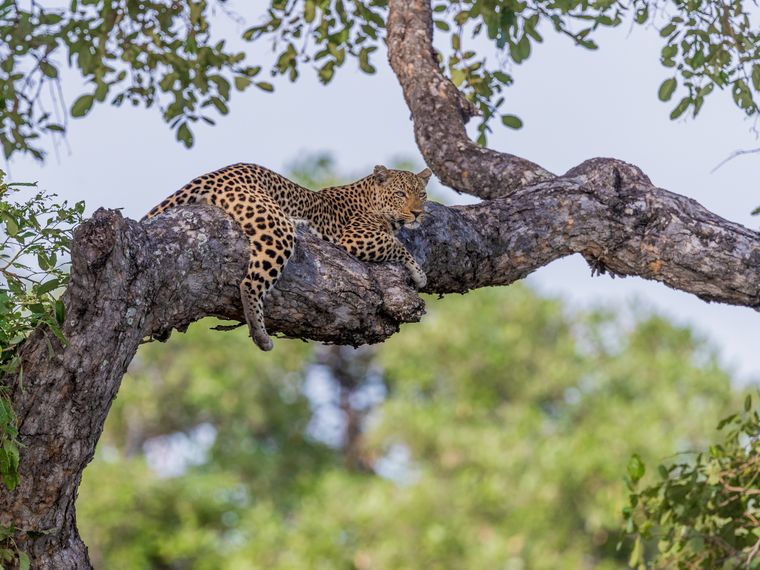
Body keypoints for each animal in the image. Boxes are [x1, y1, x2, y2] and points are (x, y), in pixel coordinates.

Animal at [144, 162, 432, 351]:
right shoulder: (355, 239)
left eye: (422, 194)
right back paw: (261, 336)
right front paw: (419, 273)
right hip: (275, 227)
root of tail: (216, 173)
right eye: (400, 194)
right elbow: (396, 244)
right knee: (249, 283)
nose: (418, 212)